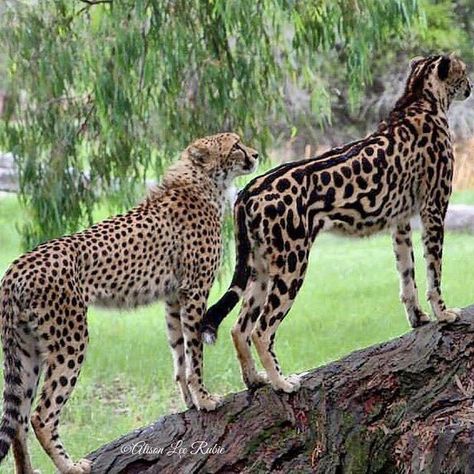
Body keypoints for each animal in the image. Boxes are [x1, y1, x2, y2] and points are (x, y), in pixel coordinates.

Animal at [0, 131, 260, 472]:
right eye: (235, 146)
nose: (256, 155)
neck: (202, 182)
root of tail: (17, 265)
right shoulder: (195, 291)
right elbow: (195, 353)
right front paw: (204, 399)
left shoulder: (173, 298)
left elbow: (179, 354)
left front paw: (190, 402)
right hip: (70, 340)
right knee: (41, 415)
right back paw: (70, 465)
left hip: (26, 349)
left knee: (17, 420)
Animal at [202, 55, 472, 394]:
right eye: (463, 71)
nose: (470, 87)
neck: (419, 97)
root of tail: (250, 187)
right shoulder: (434, 209)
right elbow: (434, 272)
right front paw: (444, 313)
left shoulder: (399, 222)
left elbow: (406, 276)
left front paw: (418, 319)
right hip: (292, 264)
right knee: (260, 330)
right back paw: (281, 382)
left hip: (262, 267)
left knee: (239, 327)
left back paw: (254, 380)